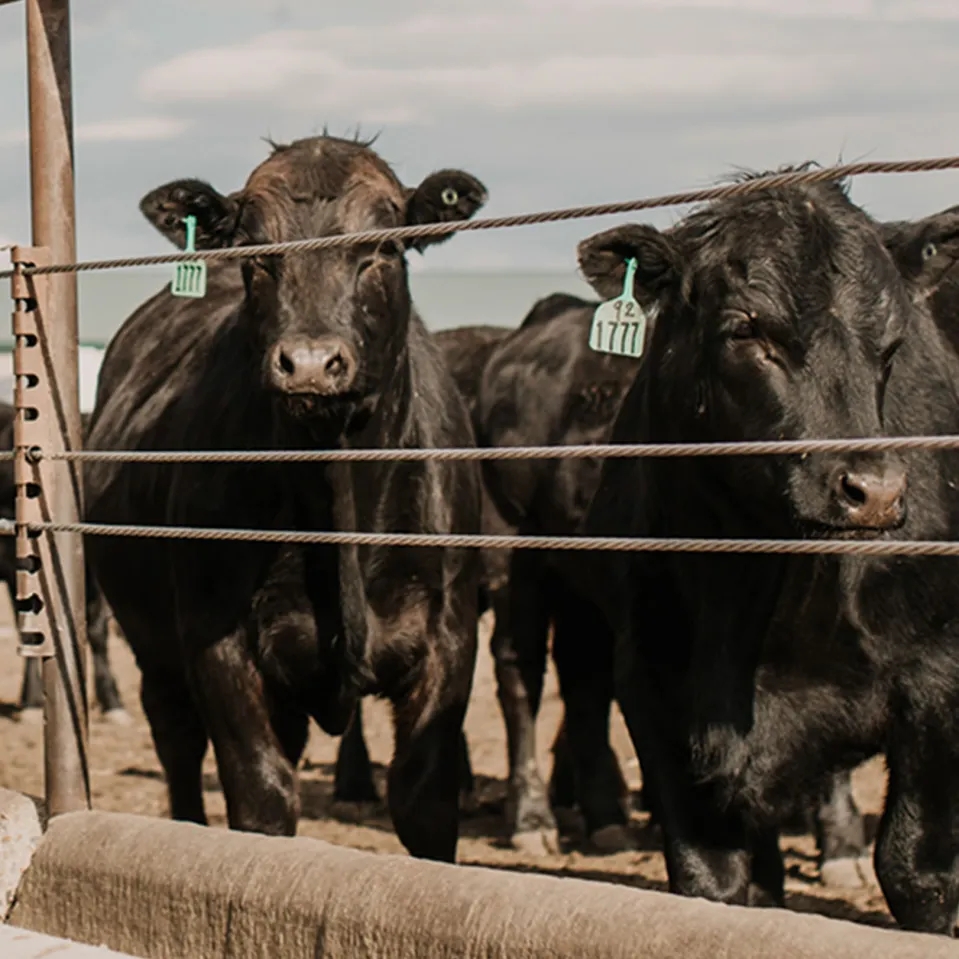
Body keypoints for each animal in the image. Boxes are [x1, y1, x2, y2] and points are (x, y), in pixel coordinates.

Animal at [83, 137, 488, 864]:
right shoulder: (218, 642)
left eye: (382, 248)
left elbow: (424, 800)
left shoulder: (450, 635)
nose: (309, 362)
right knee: (176, 740)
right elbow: (262, 796)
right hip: (150, 639)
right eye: (255, 249)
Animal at [572, 171, 959, 928]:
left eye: (892, 343)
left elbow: (917, 871)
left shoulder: (938, 672)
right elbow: (714, 881)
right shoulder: (651, 679)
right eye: (747, 329)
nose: (873, 489)